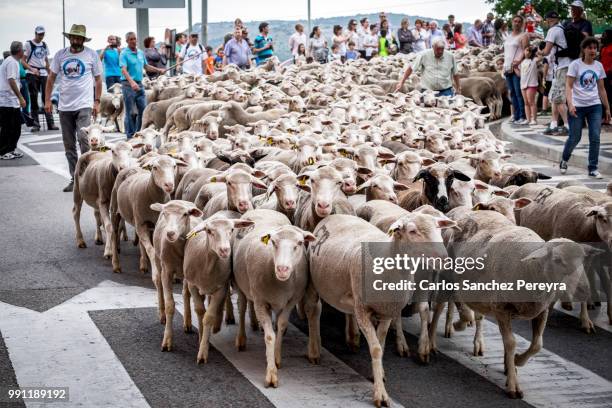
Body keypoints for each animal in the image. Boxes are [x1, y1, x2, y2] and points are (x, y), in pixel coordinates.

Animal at [233, 210, 320, 388]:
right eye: (273, 242)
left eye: (299, 243)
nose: (282, 269)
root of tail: (263, 210)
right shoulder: (260, 302)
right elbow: (269, 336)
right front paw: (271, 375)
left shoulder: (291, 300)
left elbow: (281, 325)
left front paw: (277, 358)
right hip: (241, 284)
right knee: (242, 306)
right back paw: (241, 339)